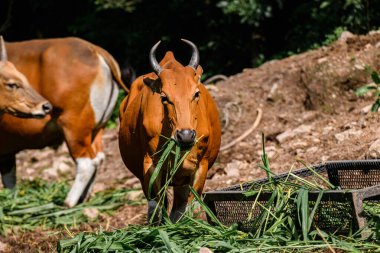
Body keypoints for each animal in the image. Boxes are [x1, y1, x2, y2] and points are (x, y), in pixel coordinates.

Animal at [0, 37, 128, 208]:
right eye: (13, 84)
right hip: (97, 129)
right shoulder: (6, 151)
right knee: (98, 158)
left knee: (86, 163)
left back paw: (68, 202)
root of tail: (95, 50)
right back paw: (84, 197)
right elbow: (10, 182)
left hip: (74, 127)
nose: (45, 106)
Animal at [119, 38, 223, 222]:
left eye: (196, 93)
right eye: (164, 97)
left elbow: (184, 209)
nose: (186, 135)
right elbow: (156, 208)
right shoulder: (150, 167)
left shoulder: (200, 167)